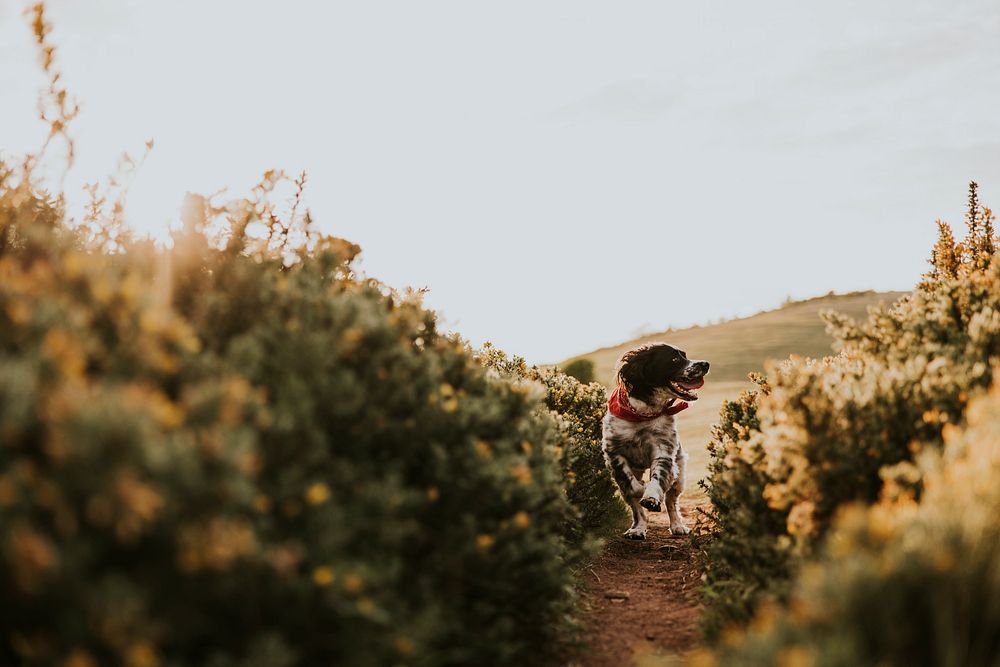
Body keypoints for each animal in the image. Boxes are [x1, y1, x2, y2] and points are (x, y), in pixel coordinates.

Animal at [596, 342, 708, 540]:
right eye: (674, 359)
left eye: (684, 355)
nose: (705, 364)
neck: (642, 414)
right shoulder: (614, 453)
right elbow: (632, 487)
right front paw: (643, 491)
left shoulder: (664, 451)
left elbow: (657, 479)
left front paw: (651, 497)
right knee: (636, 508)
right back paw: (638, 529)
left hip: (680, 475)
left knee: (672, 502)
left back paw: (678, 526)